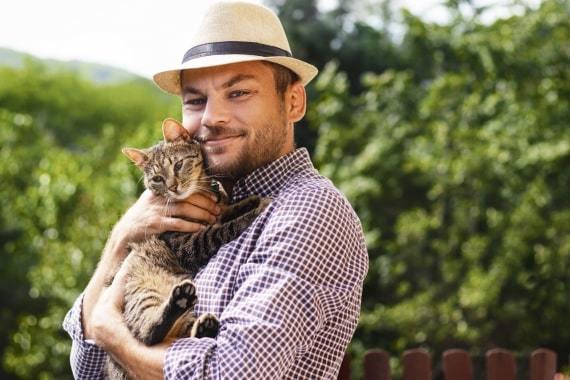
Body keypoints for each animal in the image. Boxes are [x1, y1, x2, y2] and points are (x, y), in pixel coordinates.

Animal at [103, 117, 268, 378]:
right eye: (157, 179)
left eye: (178, 165)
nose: (173, 187)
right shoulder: (185, 243)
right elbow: (220, 230)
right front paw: (251, 212)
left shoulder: (215, 212)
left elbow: (225, 211)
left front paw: (249, 201)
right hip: (141, 294)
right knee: (148, 334)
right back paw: (179, 303)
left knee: (185, 334)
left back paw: (204, 327)